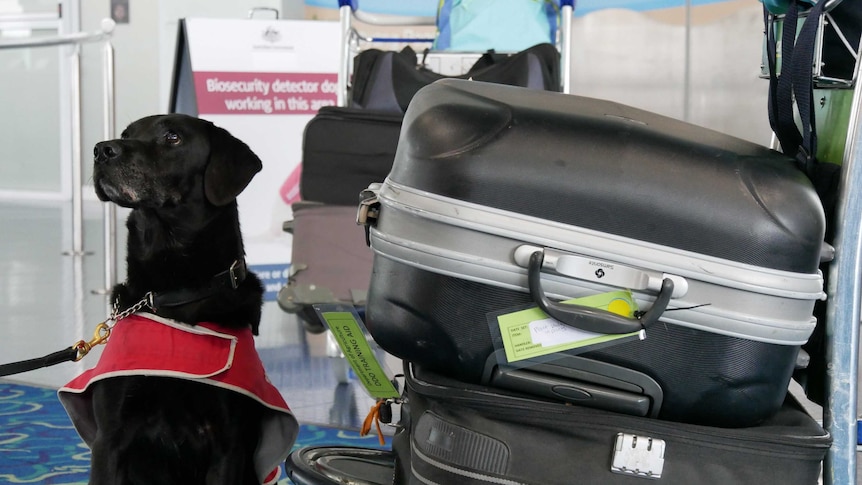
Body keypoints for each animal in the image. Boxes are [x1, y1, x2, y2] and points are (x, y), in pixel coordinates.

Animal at [58, 114, 296, 484]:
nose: (101, 150)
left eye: (173, 138)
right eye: (126, 133)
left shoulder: (227, 444)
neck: (173, 292)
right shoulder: (110, 438)